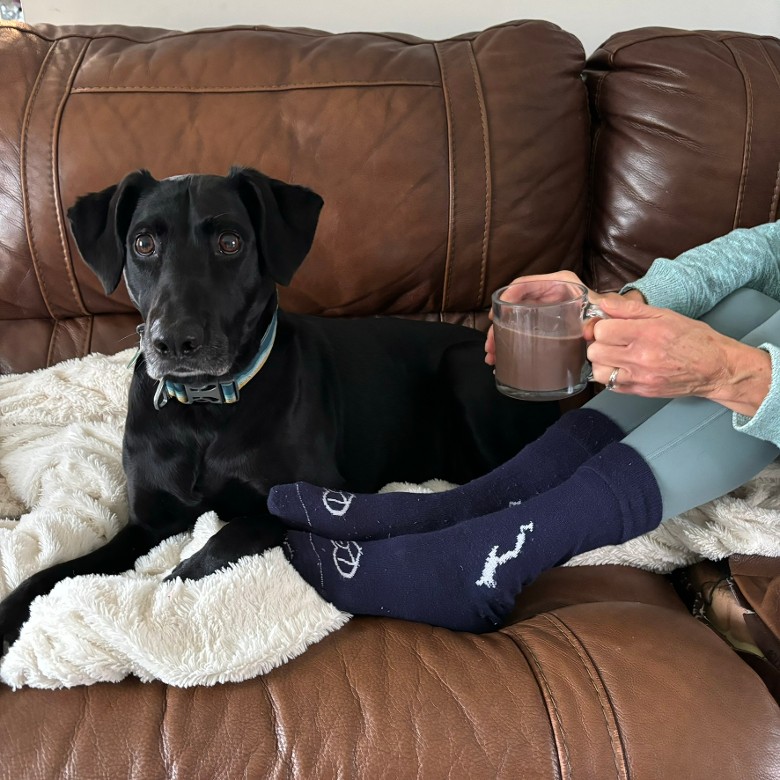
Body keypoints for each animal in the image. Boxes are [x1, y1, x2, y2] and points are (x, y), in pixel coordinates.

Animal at [0, 168, 556, 644]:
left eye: (230, 242)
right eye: (143, 243)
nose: (174, 342)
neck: (205, 412)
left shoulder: (315, 494)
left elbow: (233, 533)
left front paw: (170, 584)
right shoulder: (148, 522)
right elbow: (57, 573)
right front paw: (13, 611)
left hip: (468, 368)